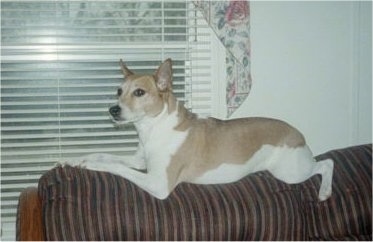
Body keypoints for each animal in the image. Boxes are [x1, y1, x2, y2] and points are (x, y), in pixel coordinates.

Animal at [65, 58, 332, 200]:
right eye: (119, 91)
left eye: (139, 92)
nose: (113, 110)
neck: (155, 128)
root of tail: (297, 133)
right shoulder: (139, 161)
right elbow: (105, 154)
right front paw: (76, 159)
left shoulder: (158, 183)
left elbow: (117, 167)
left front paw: (91, 165)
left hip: (289, 172)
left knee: (326, 163)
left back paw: (324, 192)